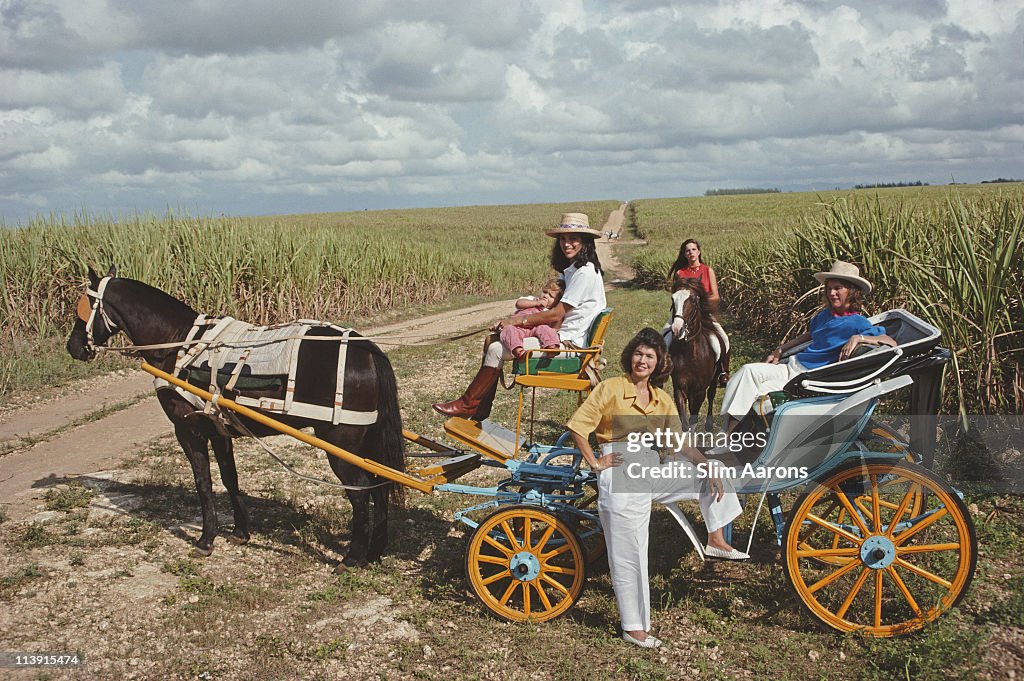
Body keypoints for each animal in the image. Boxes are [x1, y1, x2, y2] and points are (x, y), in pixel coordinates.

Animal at [64, 264, 403, 561]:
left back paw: (353, 557)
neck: (180, 342)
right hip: (366, 442)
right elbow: (230, 479)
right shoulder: (218, 430)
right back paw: (374, 552)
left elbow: (203, 483)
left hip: (341, 444)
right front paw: (241, 531)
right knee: (380, 487)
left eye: (83, 308)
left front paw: (205, 540)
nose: (73, 347)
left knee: (360, 492)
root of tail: (367, 350)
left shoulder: (188, 430)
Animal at [663, 274, 720, 428]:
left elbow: (693, 420)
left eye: (693, 300)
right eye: (673, 299)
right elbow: (685, 423)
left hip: (714, 379)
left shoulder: (700, 390)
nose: (677, 329)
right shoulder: (679, 388)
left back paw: (709, 423)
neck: (691, 356)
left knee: (711, 394)